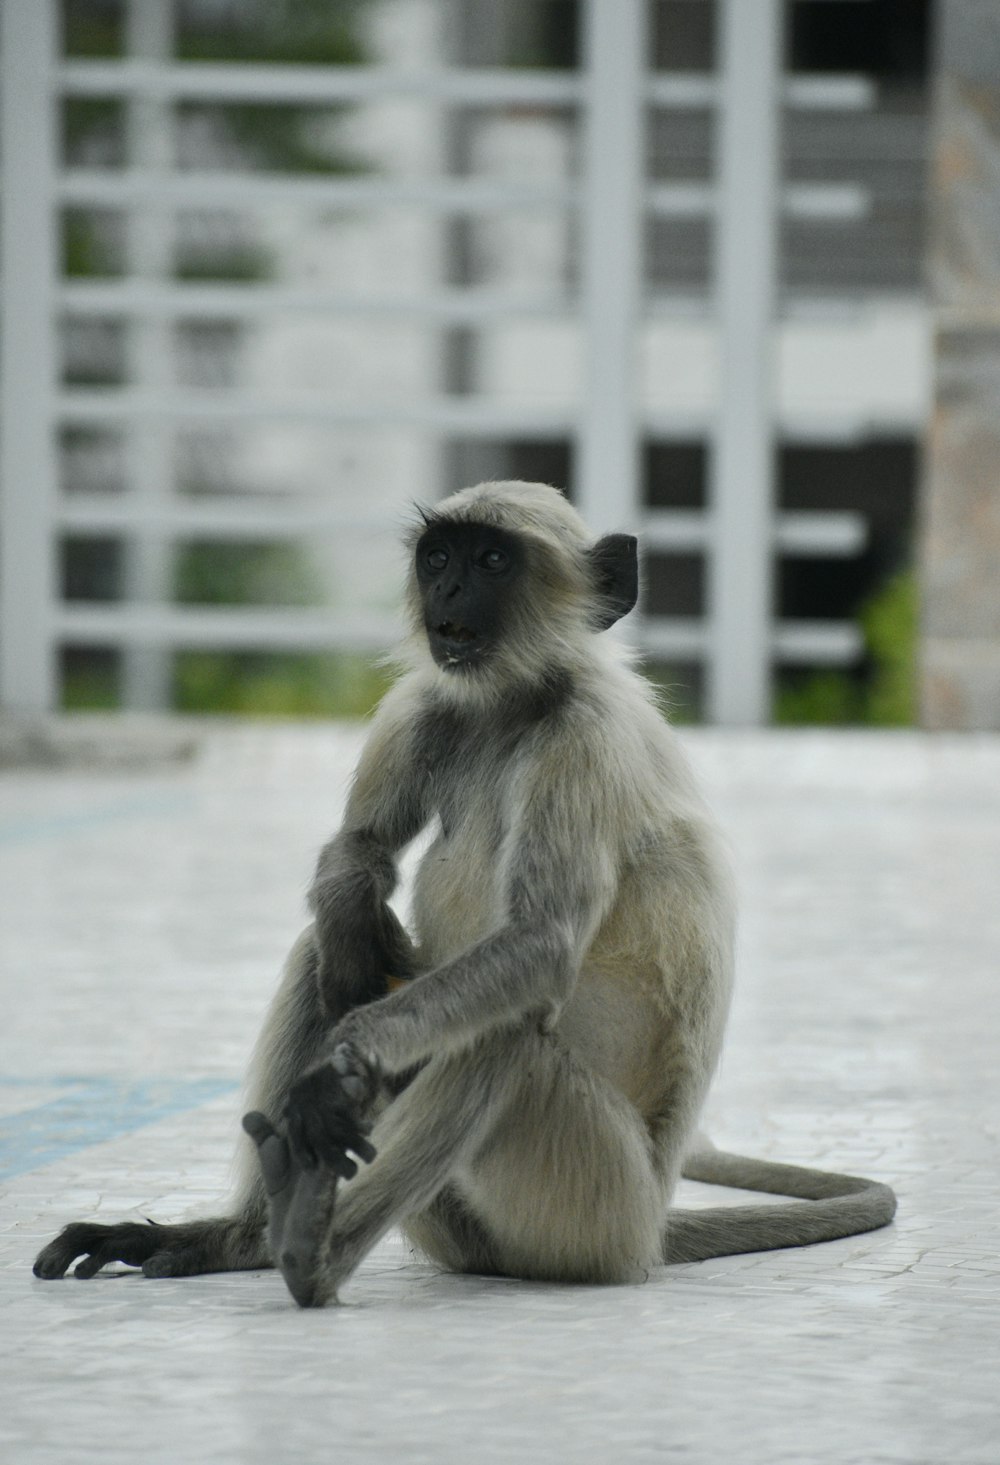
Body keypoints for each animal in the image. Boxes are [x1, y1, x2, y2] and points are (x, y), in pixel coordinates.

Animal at [33, 480, 901, 1306]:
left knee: (504, 1029)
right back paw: (247, 1234)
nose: (446, 593)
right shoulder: (423, 704)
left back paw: (310, 1258)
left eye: (492, 561)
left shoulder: (584, 740)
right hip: (471, 1214)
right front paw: (347, 956)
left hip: (590, 1201)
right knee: (334, 949)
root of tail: (650, 1229)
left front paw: (345, 1058)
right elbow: (359, 852)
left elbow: (540, 943)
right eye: (438, 558)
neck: (515, 703)